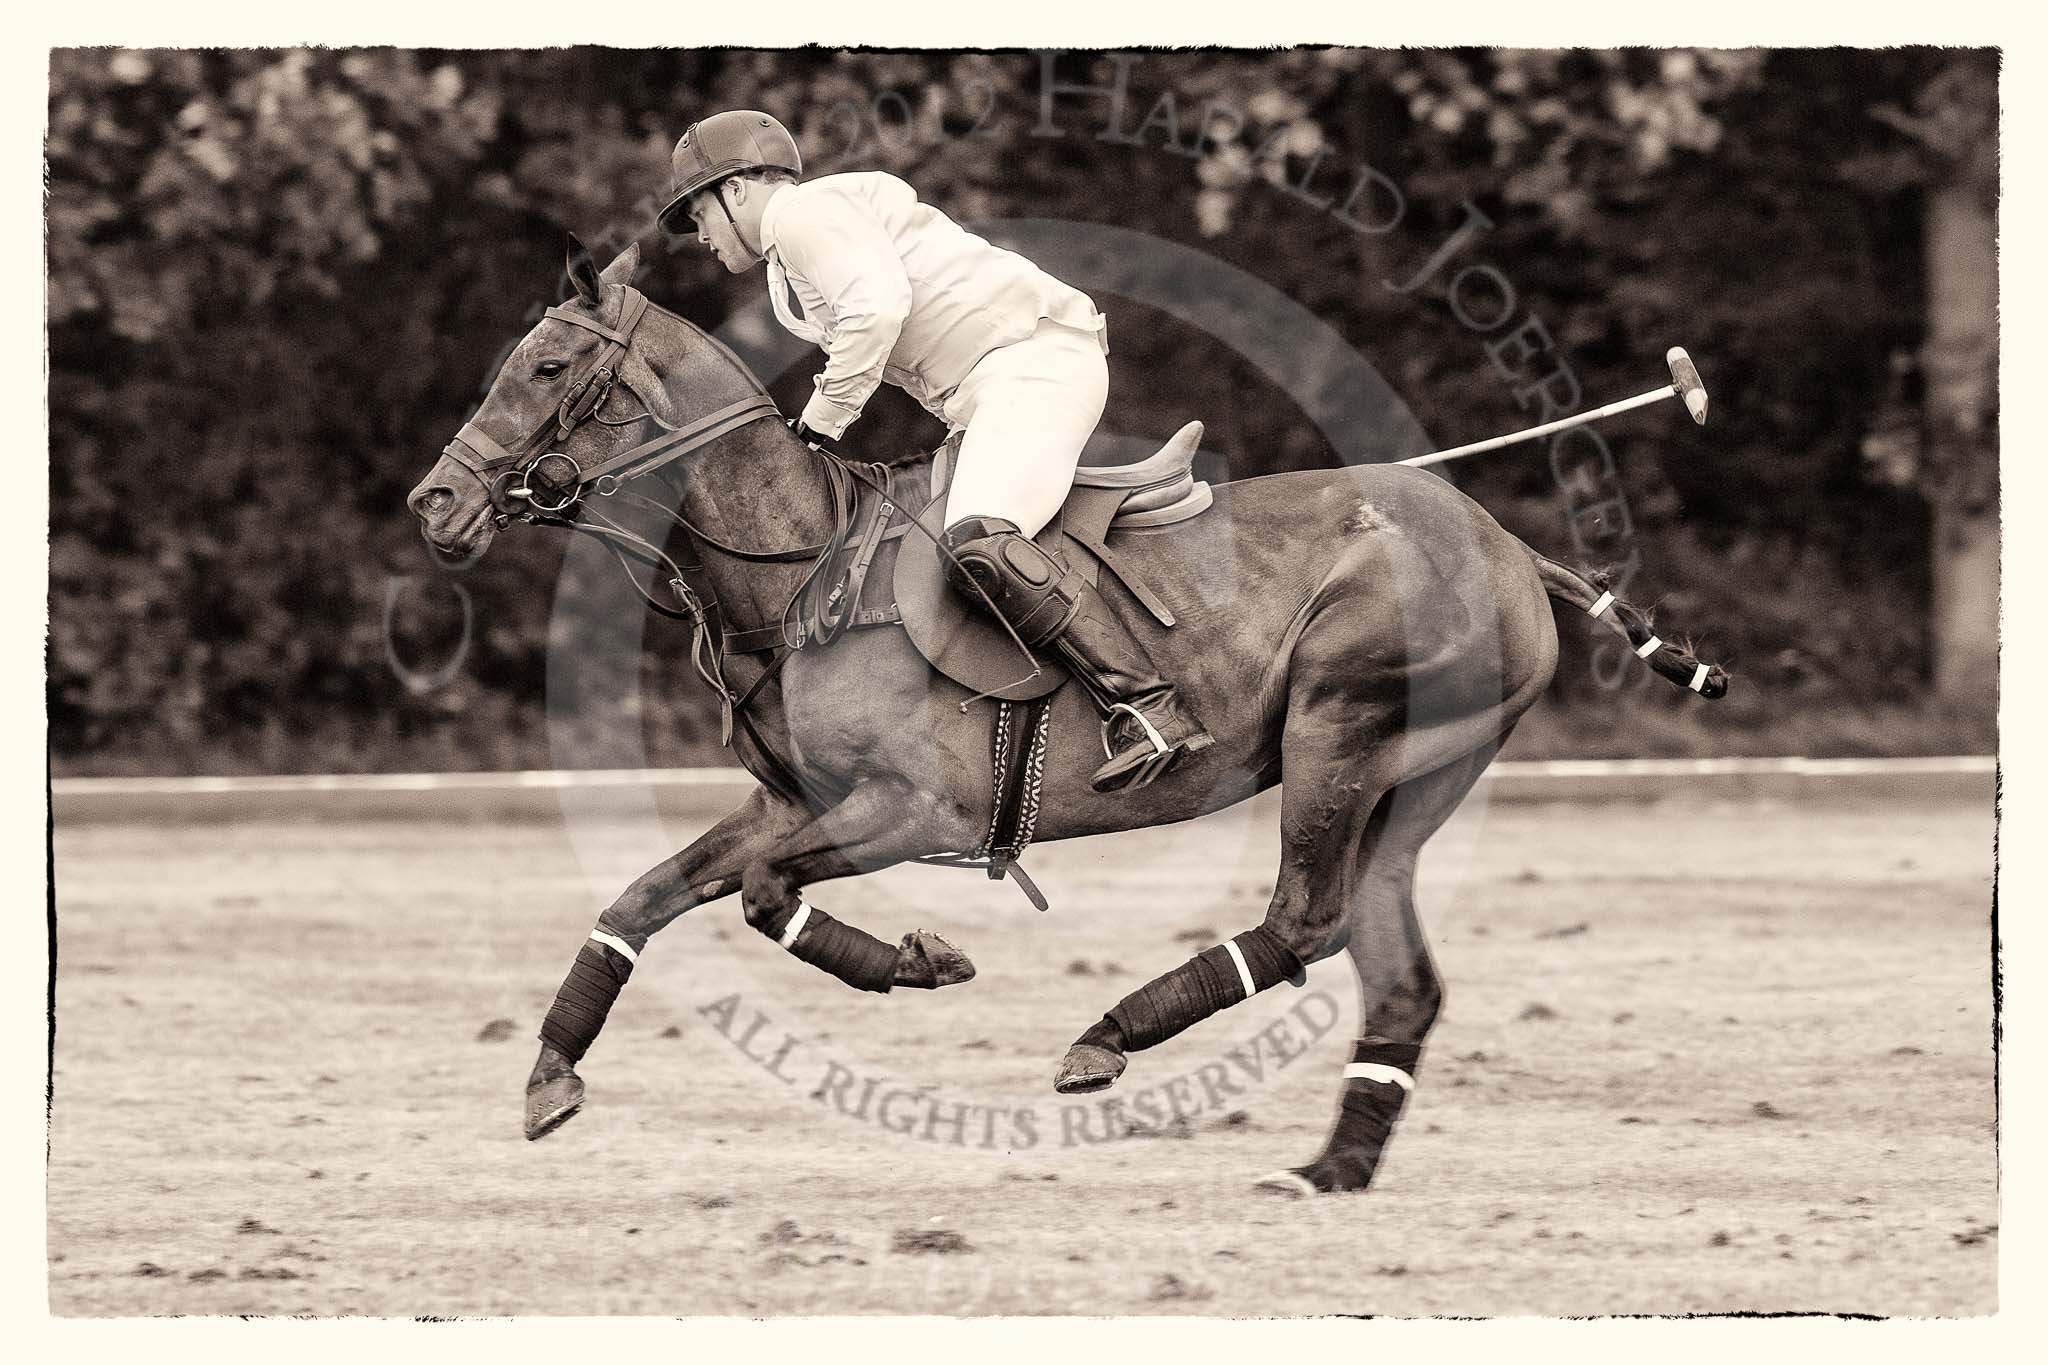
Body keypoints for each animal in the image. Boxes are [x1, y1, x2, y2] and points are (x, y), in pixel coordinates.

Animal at [407, 240, 1720, 1186]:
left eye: (542, 368)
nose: (435, 506)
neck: (800, 569)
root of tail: (1510, 549)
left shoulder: (910, 809)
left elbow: (768, 896)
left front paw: (920, 961)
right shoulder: (787, 802)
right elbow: (643, 897)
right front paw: (548, 1080)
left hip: (1339, 729)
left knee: (1305, 920)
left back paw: (1107, 1040)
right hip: (1411, 781)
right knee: (1391, 969)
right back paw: (1328, 1172)